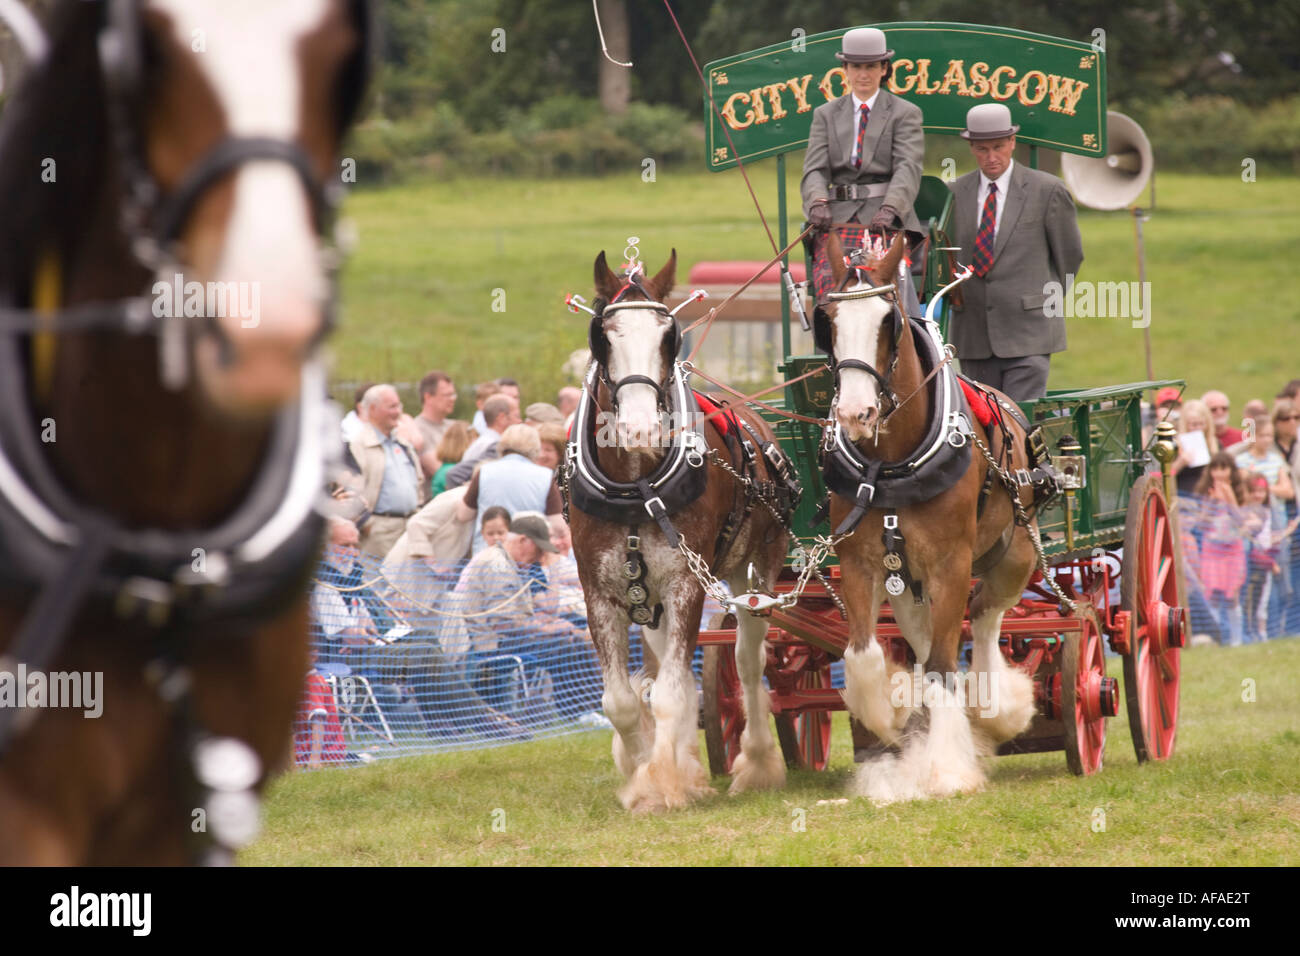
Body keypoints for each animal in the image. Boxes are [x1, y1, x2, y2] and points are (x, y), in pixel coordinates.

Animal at [566, 251, 790, 811]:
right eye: (602, 337)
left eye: (669, 337)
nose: (640, 429)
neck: (635, 487)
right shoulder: (600, 590)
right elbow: (623, 700)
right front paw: (645, 765)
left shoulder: (689, 583)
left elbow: (668, 693)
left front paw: (662, 783)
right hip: (649, 595)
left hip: (756, 570)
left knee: (747, 660)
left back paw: (757, 762)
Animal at [821, 235, 1045, 806]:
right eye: (827, 319)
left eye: (889, 322)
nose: (855, 414)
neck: (889, 465)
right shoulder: (859, 563)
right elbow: (863, 655)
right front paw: (893, 714)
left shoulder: (951, 564)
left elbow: (946, 666)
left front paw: (946, 769)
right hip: (907, 584)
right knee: (926, 641)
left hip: (1014, 554)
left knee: (985, 616)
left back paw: (996, 707)